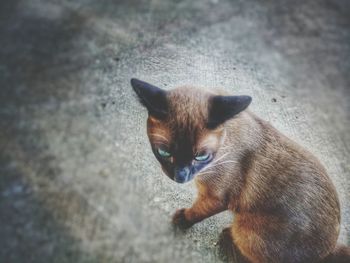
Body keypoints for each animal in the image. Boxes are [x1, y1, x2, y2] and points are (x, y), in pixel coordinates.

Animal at [130, 78, 348, 263]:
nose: (180, 177)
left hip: (245, 230)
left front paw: (182, 221)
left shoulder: (216, 198)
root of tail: (330, 250)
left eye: (201, 157)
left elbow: (197, 212)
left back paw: (227, 239)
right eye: (164, 152)